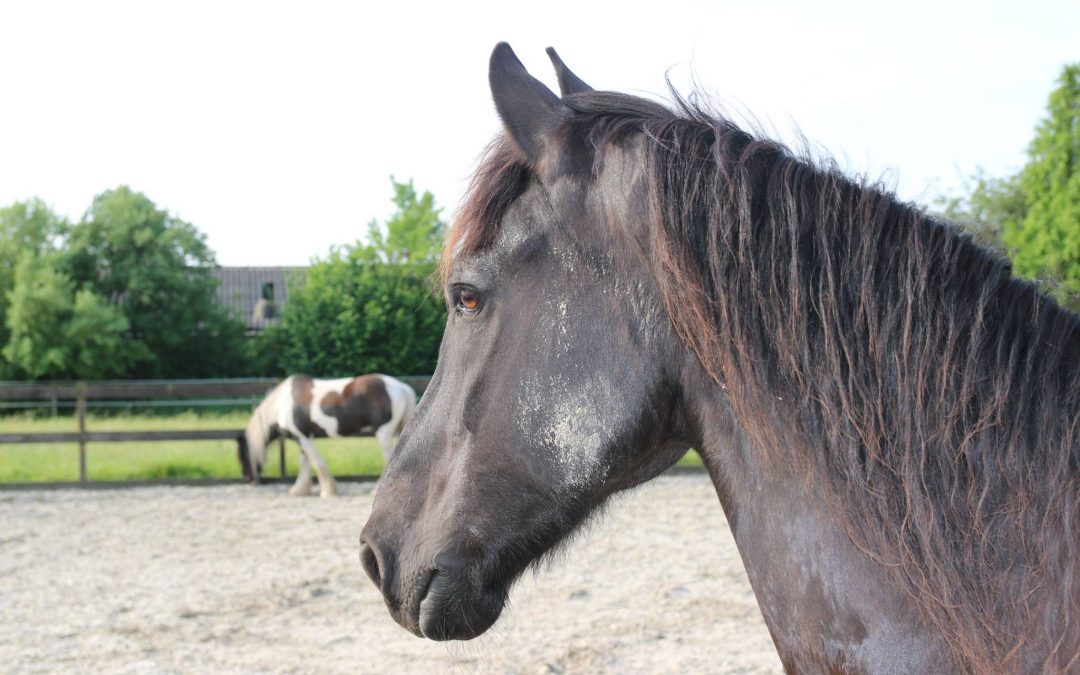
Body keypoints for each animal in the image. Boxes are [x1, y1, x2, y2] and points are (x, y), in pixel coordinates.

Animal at [238, 373, 414, 494]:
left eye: (241, 457)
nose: (248, 480)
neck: (283, 404)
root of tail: (401, 387)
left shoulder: (303, 437)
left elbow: (316, 461)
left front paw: (328, 490)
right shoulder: (302, 437)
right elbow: (305, 462)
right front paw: (300, 490)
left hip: (384, 432)